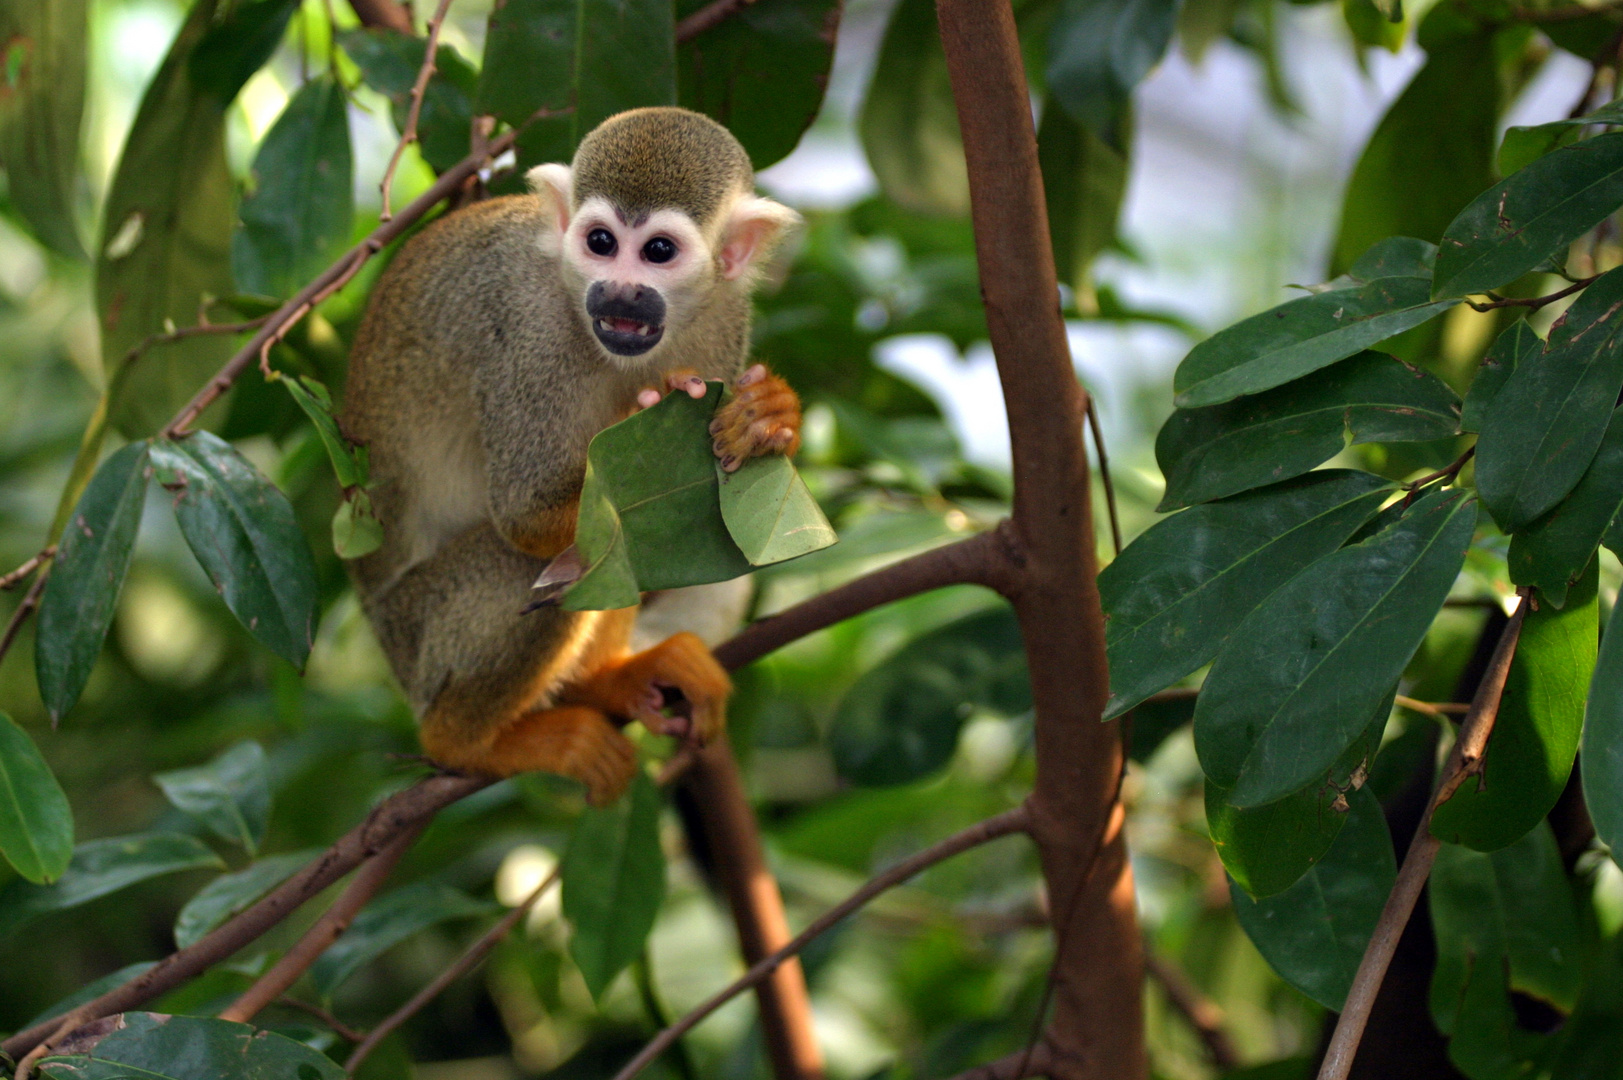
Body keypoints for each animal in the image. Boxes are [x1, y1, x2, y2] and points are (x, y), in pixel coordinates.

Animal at [344, 107, 805, 799]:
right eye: (601, 243)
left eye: (659, 251)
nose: (619, 292)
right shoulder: (526, 331)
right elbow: (529, 515)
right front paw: (649, 412)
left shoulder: (726, 315)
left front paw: (769, 417)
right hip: (421, 638)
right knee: (551, 564)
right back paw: (467, 742)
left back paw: (606, 681)